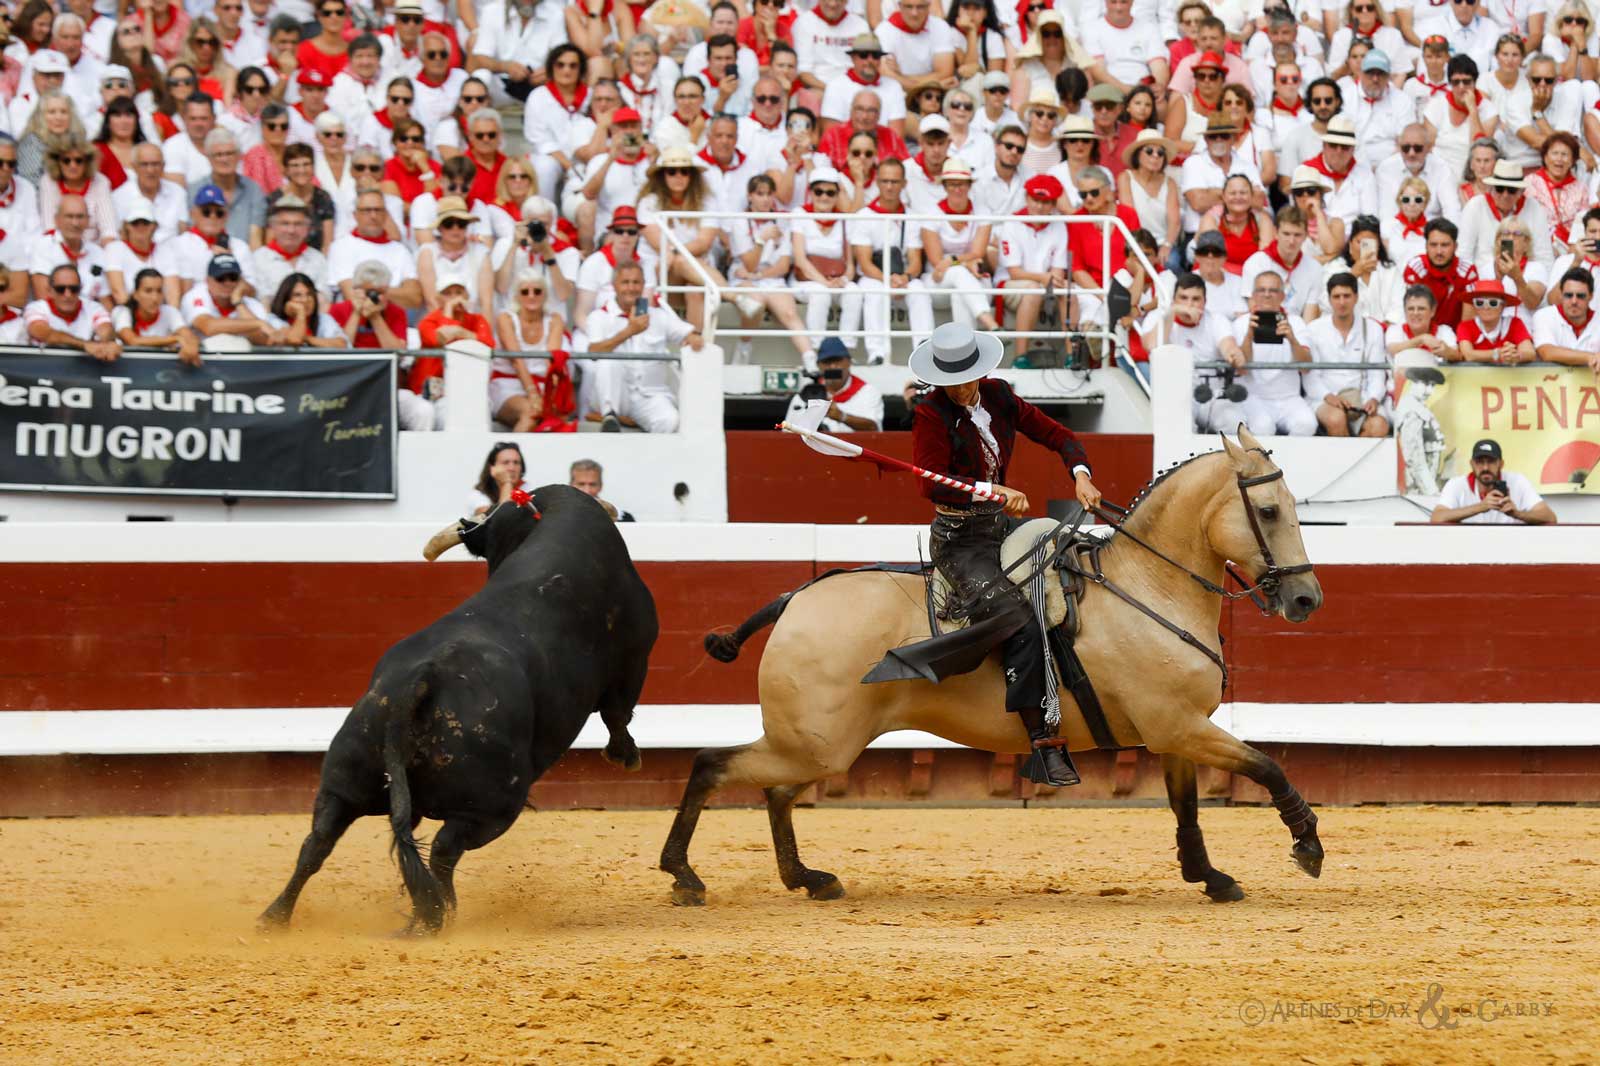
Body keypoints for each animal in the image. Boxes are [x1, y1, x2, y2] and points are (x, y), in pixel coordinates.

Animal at [659, 428, 1325, 906]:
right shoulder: (1181, 726)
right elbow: (1267, 765)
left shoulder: (1175, 734)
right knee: (714, 765)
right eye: (1269, 510)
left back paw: (807, 878)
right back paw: (684, 875)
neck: (1147, 585)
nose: (1305, 599)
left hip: (818, 744)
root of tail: (795, 597)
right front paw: (1308, 845)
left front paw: (1209, 876)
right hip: (816, 744)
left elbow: (1188, 808)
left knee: (774, 791)